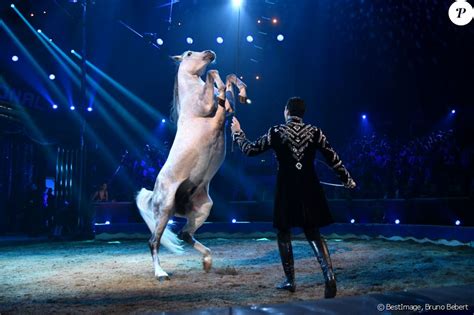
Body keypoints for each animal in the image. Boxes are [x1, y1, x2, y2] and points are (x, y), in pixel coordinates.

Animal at [136, 49, 248, 282]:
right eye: (188, 53)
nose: (210, 53)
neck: (191, 97)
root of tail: (155, 193)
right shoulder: (209, 108)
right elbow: (213, 74)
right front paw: (222, 90)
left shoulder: (224, 113)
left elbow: (229, 78)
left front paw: (241, 93)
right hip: (164, 210)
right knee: (153, 241)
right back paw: (161, 274)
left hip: (203, 208)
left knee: (185, 234)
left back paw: (207, 262)